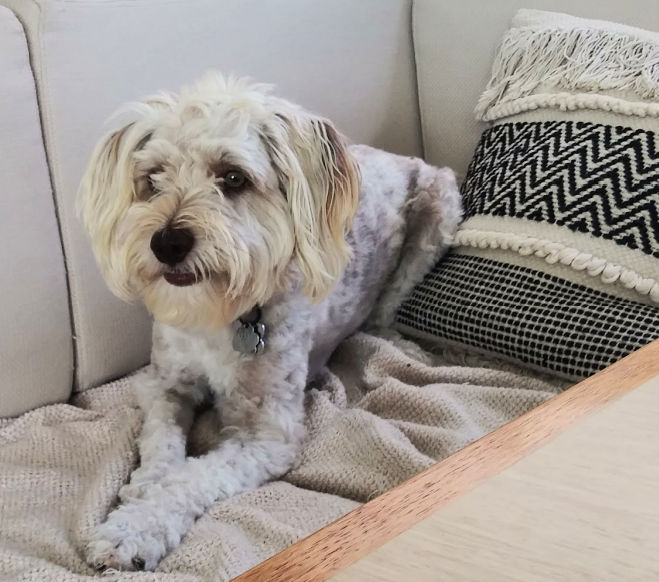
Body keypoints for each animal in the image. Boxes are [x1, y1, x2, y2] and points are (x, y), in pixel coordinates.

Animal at [78, 72, 464, 572]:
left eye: (233, 177)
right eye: (153, 178)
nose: (166, 242)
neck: (224, 312)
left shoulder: (268, 435)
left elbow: (195, 477)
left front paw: (134, 529)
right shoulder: (164, 383)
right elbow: (160, 445)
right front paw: (141, 491)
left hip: (439, 208)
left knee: (387, 310)